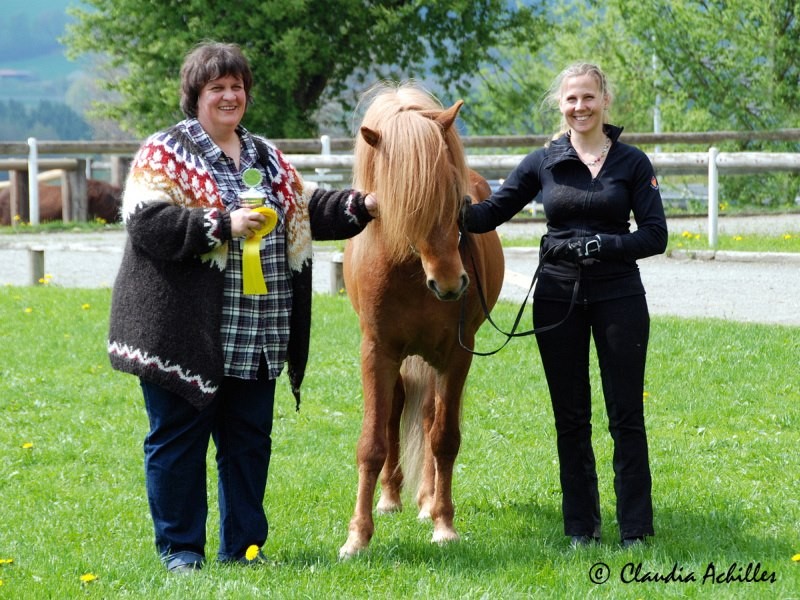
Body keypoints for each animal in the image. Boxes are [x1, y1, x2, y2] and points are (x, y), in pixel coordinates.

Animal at [340, 83, 504, 556]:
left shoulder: (455, 355)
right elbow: (372, 442)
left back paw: (428, 501)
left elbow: (444, 439)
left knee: (430, 418)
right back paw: (391, 497)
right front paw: (358, 536)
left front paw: (443, 524)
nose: (450, 283)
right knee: (395, 412)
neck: (408, 270)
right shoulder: (377, 352)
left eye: (455, 196)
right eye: (402, 203)